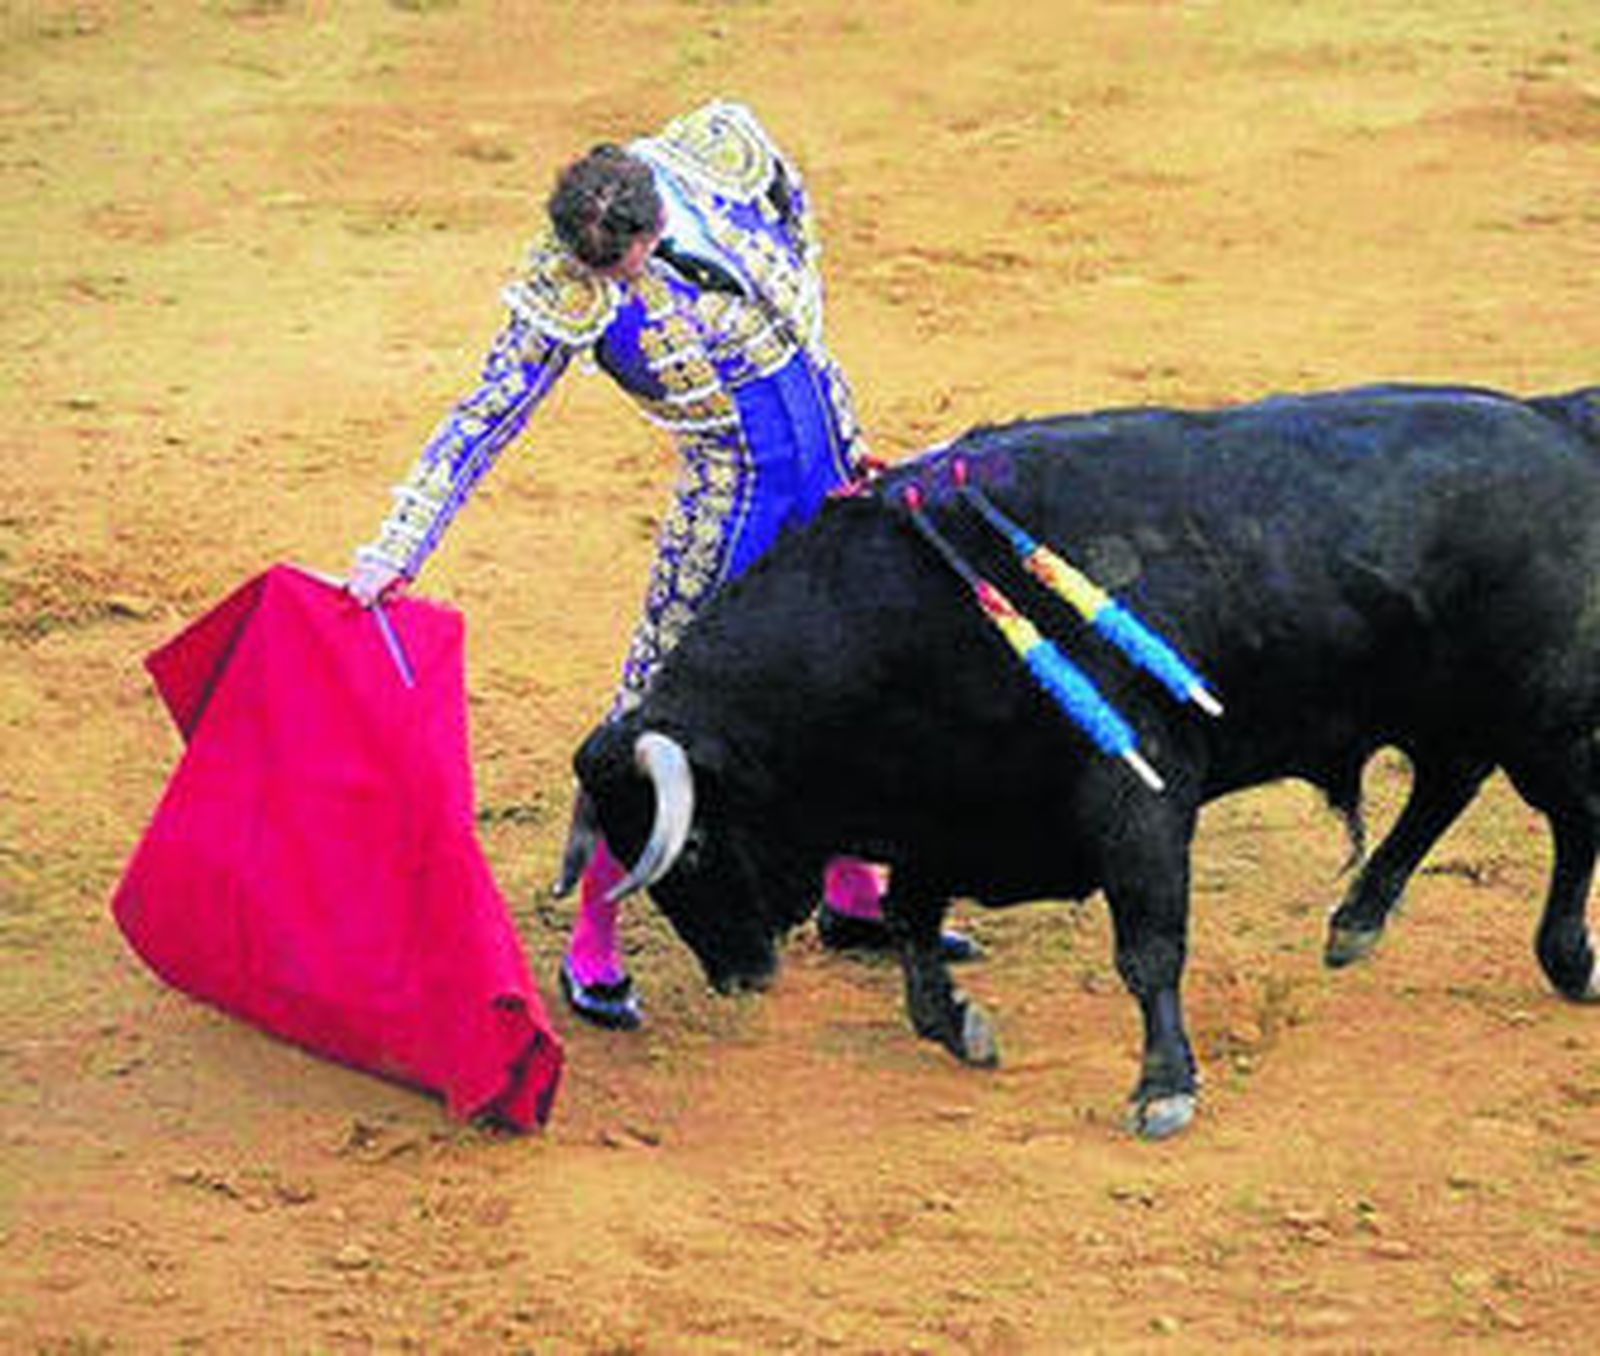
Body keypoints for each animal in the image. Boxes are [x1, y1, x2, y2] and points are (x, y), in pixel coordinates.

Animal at [563, 383, 1600, 1138]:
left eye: (691, 847)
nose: (739, 978)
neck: (902, 625)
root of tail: (1557, 419)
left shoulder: (1140, 801)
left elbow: (1147, 947)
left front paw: (1164, 1090)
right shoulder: (946, 818)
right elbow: (911, 927)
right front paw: (963, 1029)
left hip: (1542, 716)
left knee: (1571, 812)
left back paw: (1567, 960)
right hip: (1455, 709)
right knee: (1448, 783)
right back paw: (1356, 923)